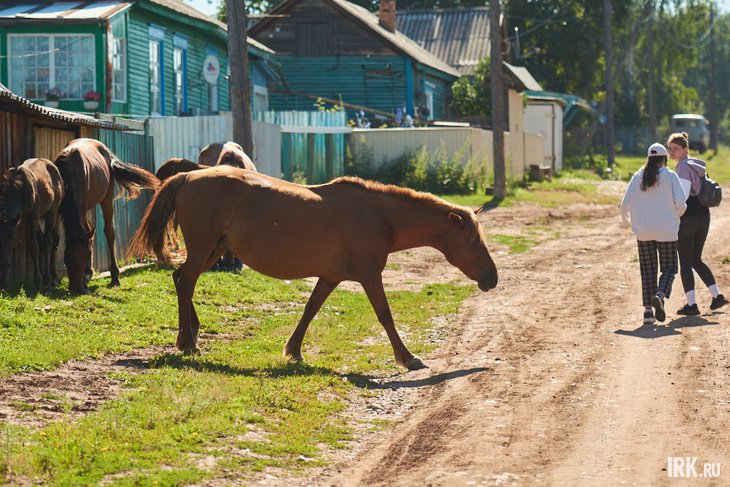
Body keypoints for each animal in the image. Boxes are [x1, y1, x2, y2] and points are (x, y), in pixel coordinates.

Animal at [0, 159, 64, 292]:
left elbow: (33, 247)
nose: (4, 263)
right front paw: (3, 284)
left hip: (52, 213)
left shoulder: (32, 217)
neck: (18, 191)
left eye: (13, 237)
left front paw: (38, 283)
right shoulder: (24, 219)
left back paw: (48, 280)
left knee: (48, 242)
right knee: (44, 242)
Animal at [55, 138, 159, 294]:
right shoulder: (59, 209)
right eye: (67, 258)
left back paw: (114, 277)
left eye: (85, 255)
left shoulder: (82, 206)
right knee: (90, 230)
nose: (76, 288)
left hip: (106, 198)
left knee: (109, 232)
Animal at [129, 166, 498, 370]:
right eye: (474, 242)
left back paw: (191, 336)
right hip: (204, 248)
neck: (379, 216)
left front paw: (293, 351)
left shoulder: (331, 277)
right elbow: (385, 316)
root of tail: (189, 175)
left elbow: (310, 310)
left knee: (181, 279)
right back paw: (187, 343)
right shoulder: (369, 276)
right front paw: (408, 359)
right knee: (185, 282)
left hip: (214, 248)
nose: (492, 278)